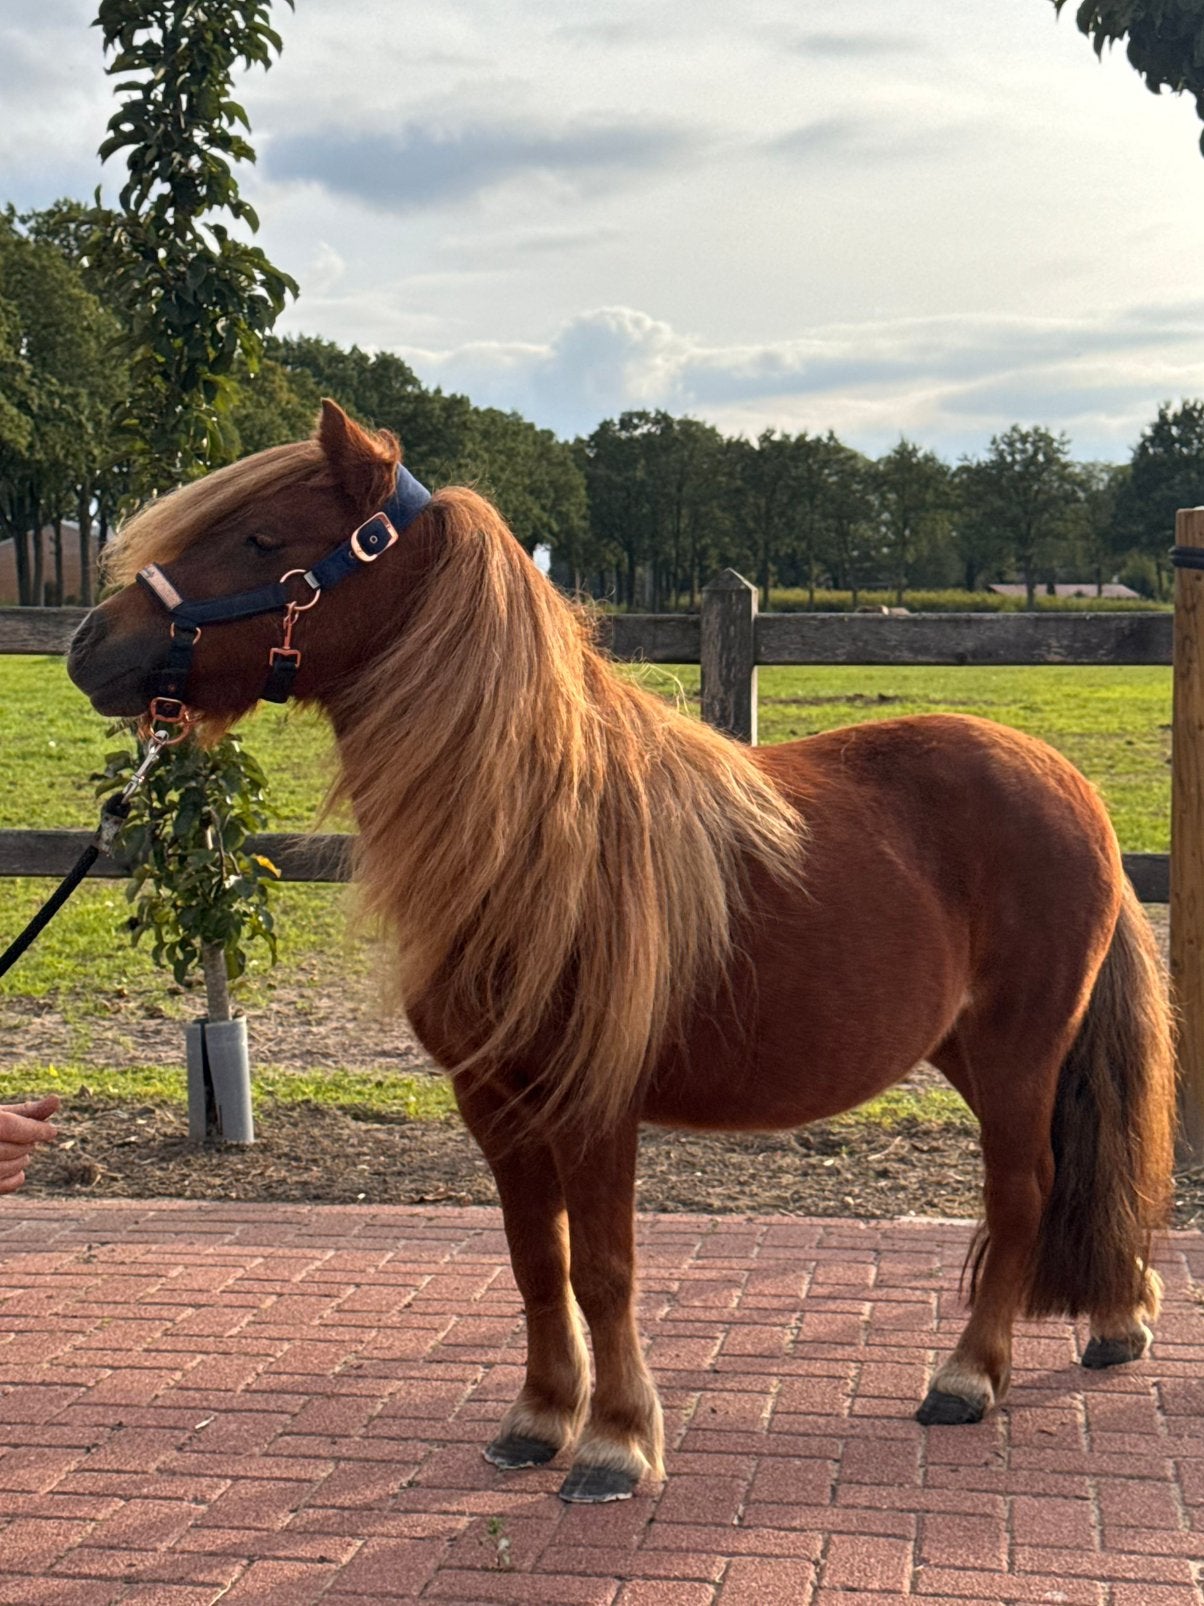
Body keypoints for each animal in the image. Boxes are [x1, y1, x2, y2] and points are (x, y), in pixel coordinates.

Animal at [67, 399, 1176, 1504]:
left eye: (262, 539)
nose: (87, 644)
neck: (532, 841)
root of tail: (1068, 784)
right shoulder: (493, 1100)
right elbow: (534, 1261)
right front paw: (538, 1417)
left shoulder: (592, 1101)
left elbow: (603, 1269)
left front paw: (614, 1440)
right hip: (966, 1050)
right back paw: (1114, 1319)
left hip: (1017, 1050)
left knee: (1024, 1191)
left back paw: (967, 1376)